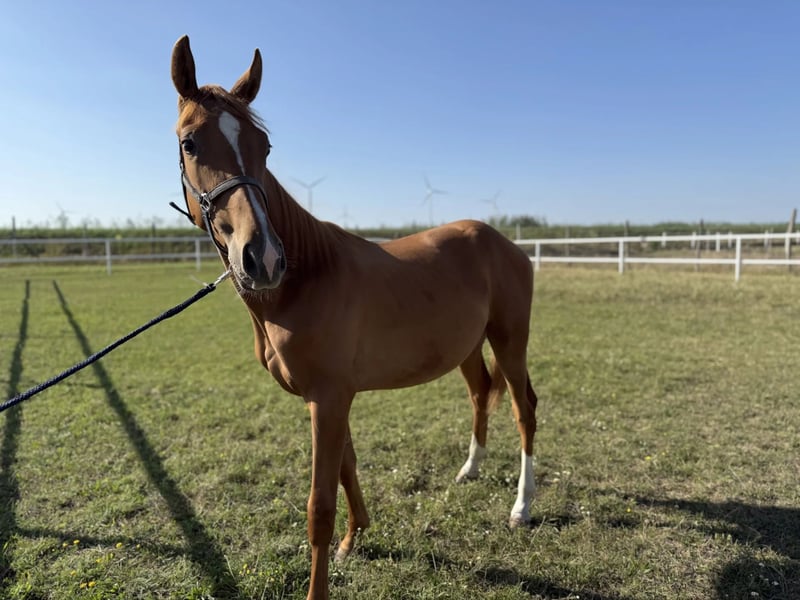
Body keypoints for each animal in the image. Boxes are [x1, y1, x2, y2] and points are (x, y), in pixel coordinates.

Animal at [170, 35, 539, 600]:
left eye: (265, 146)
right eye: (190, 143)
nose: (262, 258)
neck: (307, 278)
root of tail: (505, 243)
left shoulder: (329, 396)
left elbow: (319, 504)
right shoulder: (327, 397)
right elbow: (347, 467)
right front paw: (355, 538)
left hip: (510, 340)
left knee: (524, 409)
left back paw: (521, 507)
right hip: (469, 347)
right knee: (481, 394)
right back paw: (469, 471)